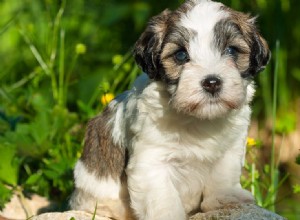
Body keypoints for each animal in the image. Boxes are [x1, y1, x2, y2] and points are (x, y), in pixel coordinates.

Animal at [69, 0, 270, 219]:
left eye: (232, 51)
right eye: (181, 55)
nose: (212, 82)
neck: (198, 119)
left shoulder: (231, 147)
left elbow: (223, 174)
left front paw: (224, 197)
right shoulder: (151, 160)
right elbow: (163, 198)